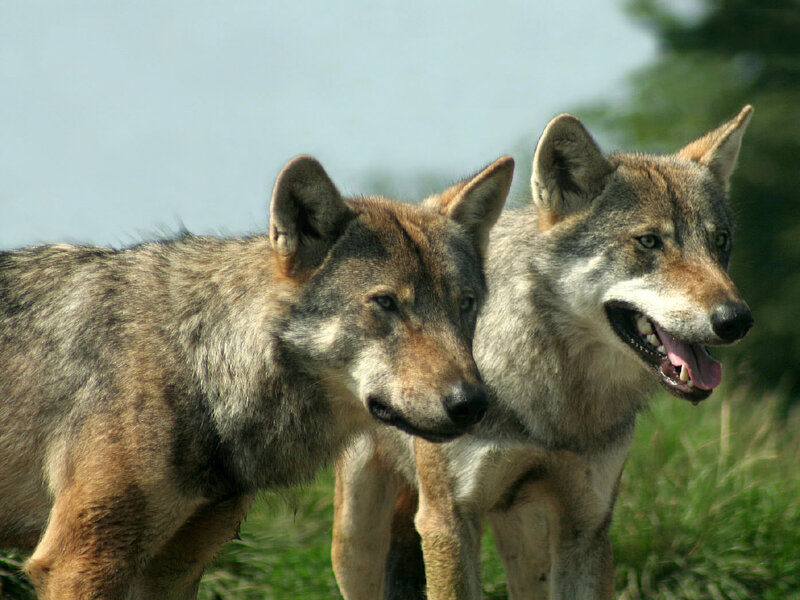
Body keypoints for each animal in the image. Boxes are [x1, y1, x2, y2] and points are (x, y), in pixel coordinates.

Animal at [0, 153, 515, 600]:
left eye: (465, 304)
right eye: (386, 303)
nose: (471, 403)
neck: (198, 364)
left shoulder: (173, 570)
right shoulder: (81, 560)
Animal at [332, 107, 754, 600]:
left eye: (720, 242)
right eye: (649, 241)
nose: (737, 319)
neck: (557, 398)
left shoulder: (586, 523)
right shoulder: (447, 521)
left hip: (526, 538)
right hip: (356, 541)